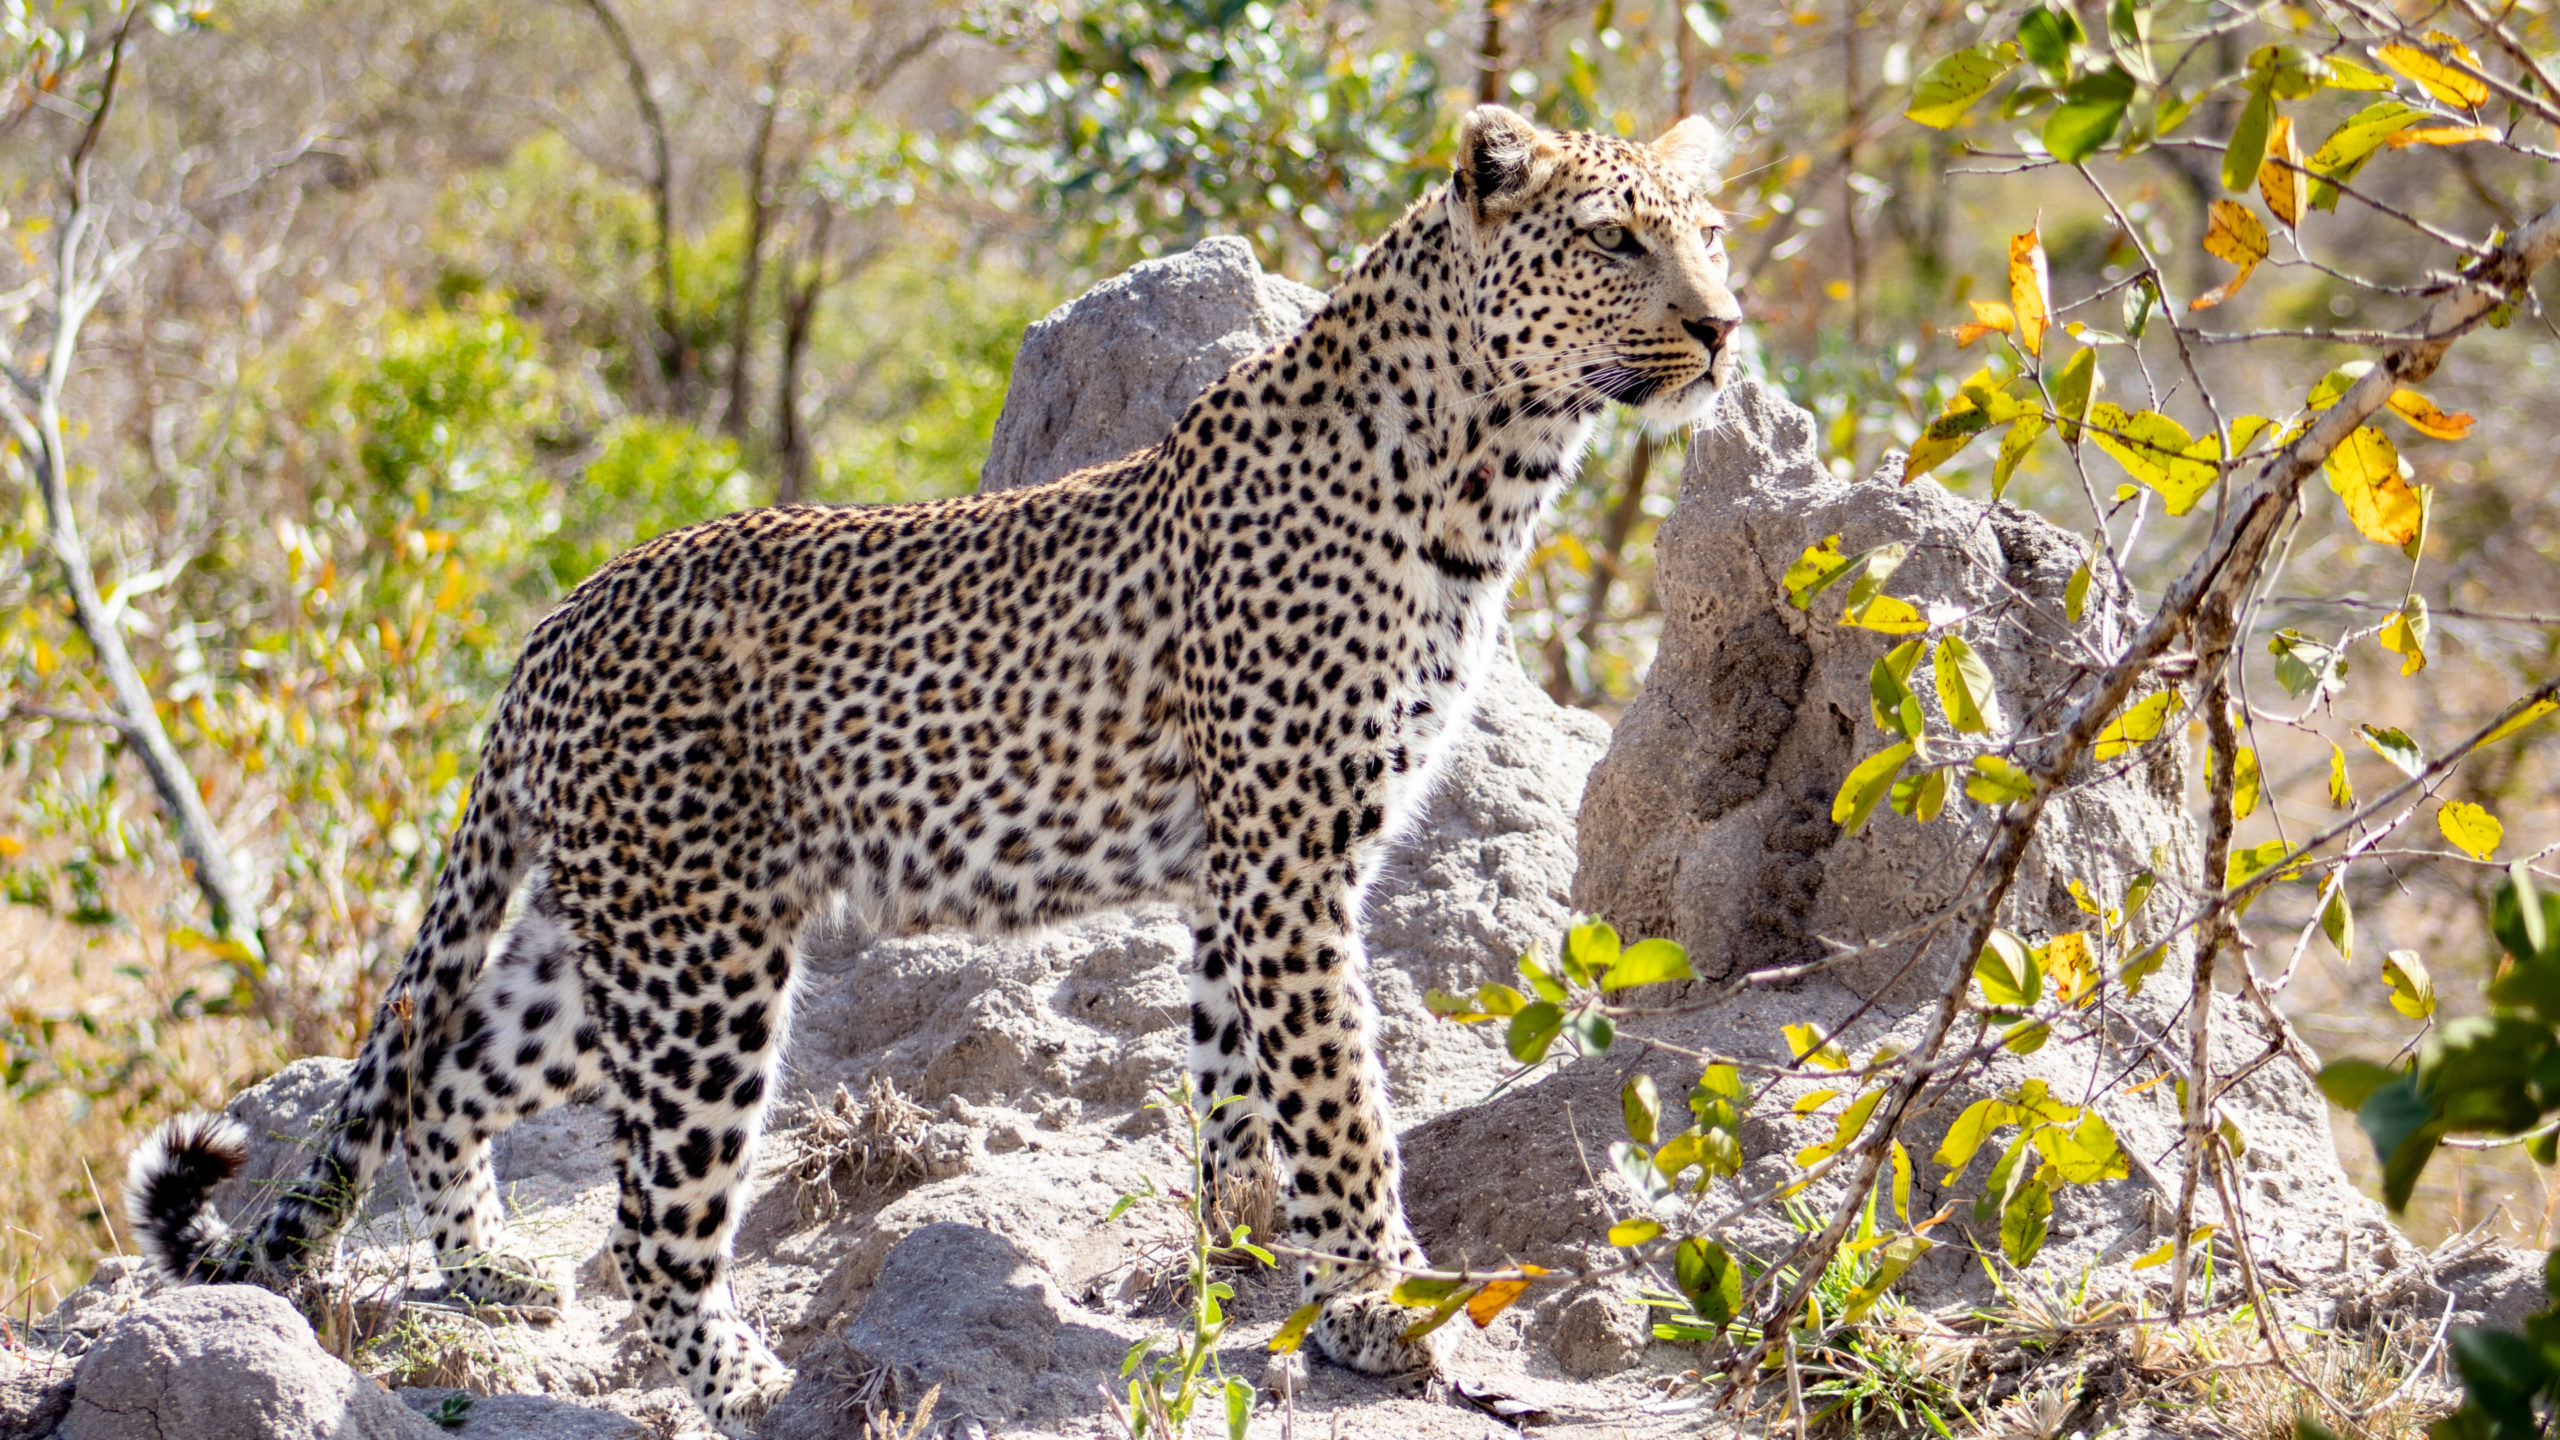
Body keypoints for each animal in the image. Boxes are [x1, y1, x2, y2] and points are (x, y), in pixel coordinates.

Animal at [135, 103, 1740, 1434]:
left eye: (1708, 234)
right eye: (1614, 239)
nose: (1725, 328)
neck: (1485, 468)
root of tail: (552, 626)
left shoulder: (1232, 876)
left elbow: (1239, 1090)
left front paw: (1252, 1269)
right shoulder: (1289, 864)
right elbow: (1340, 1103)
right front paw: (1386, 1310)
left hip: (624, 952)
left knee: (447, 1073)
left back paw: (489, 1276)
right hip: (700, 966)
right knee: (650, 1220)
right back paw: (757, 1389)